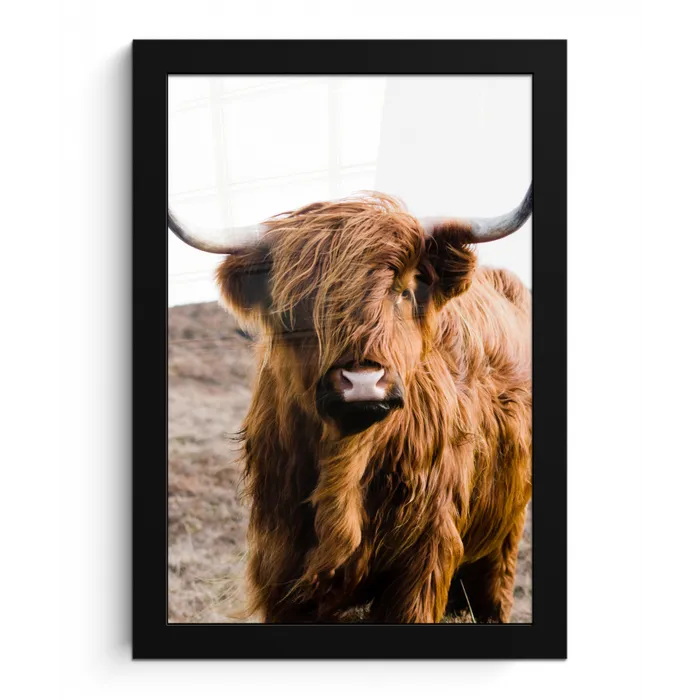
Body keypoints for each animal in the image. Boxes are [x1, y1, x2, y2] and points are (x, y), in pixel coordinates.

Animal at [168, 185, 533, 623]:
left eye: (403, 292)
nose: (362, 382)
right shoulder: (280, 562)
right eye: (298, 305)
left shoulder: (423, 559)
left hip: (503, 537)